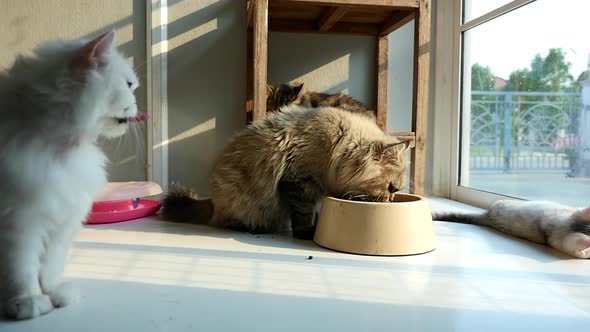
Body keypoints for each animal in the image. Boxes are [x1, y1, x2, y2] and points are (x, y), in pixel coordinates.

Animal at [0, 31, 141, 320]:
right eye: (129, 84)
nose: (136, 104)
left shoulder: (64, 218)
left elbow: (50, 265)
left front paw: (54, 293)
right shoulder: (20, 221)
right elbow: (22, 268)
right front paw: (28, 301)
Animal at [162, 104, 412, 239]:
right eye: (391, 188)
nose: (390, 200)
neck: (336, 147)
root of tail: (213, 202)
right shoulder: (300, 181)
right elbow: (303, 214)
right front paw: (307, 232)